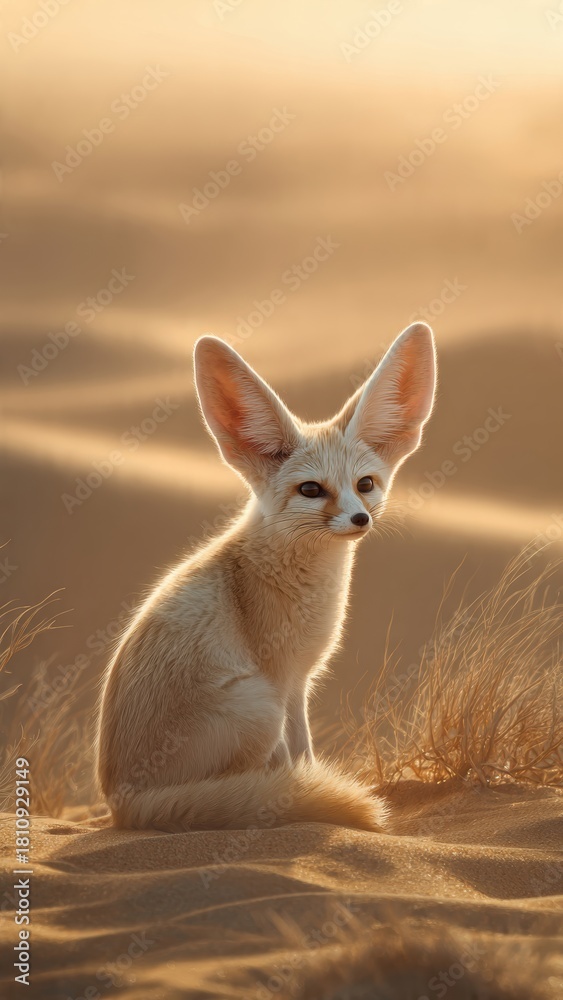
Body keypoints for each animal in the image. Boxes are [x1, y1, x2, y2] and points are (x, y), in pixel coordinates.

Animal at [96, 321, 437, 833]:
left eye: (365, 485)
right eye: (311, 490)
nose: (360, 520)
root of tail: (121, 802)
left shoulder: (298, 682)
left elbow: (303, 759)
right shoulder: (285, 681)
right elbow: (299, 758)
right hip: (259, 707)